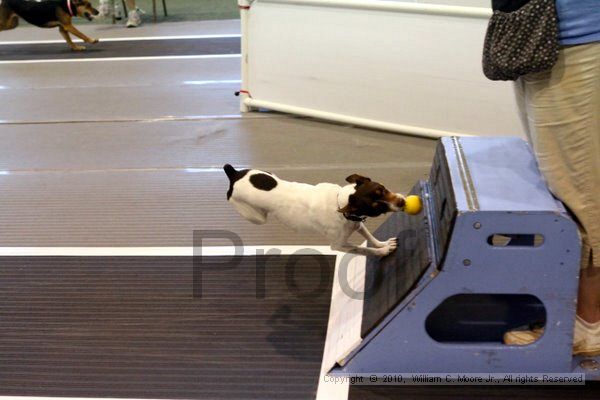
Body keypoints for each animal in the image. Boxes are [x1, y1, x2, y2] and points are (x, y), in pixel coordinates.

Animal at [225, 164, 408, 258]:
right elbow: (363, 249)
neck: (342, 199)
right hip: (256, 217)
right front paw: (382, 251)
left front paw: (383, 244)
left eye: (382, 189)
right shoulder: (338, 246)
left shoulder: (357, 224)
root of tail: (234, 174)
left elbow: (371, 238)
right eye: (376, 208)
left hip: (267, 173)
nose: (402, 202)